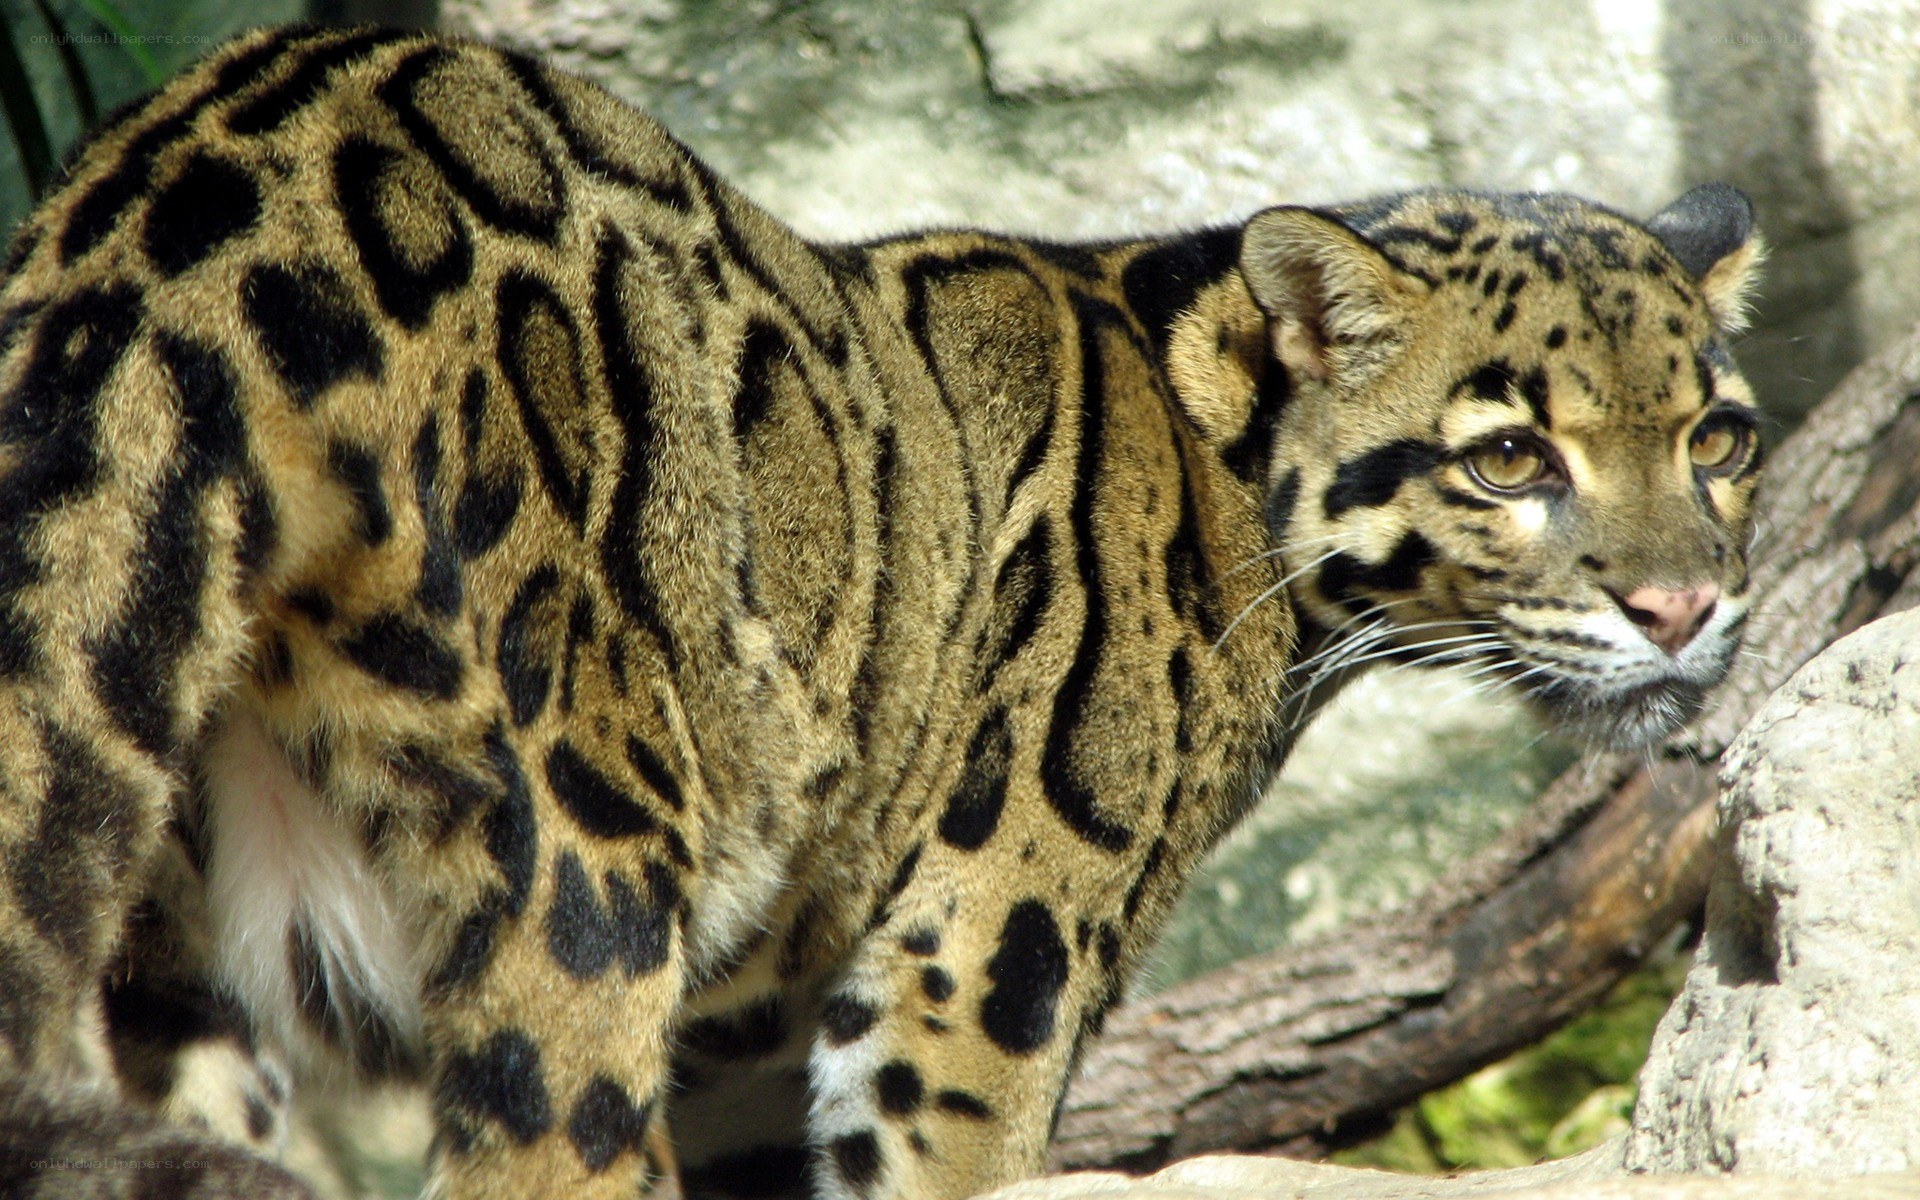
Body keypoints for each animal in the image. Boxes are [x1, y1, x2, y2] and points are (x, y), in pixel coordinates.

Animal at [0, 23, 1764, 1200]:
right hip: (569, 861)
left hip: (163, 958)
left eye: (1718, 441)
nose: (1686, 606)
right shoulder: (985, 955)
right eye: (1510, 455)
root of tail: (186, 208)